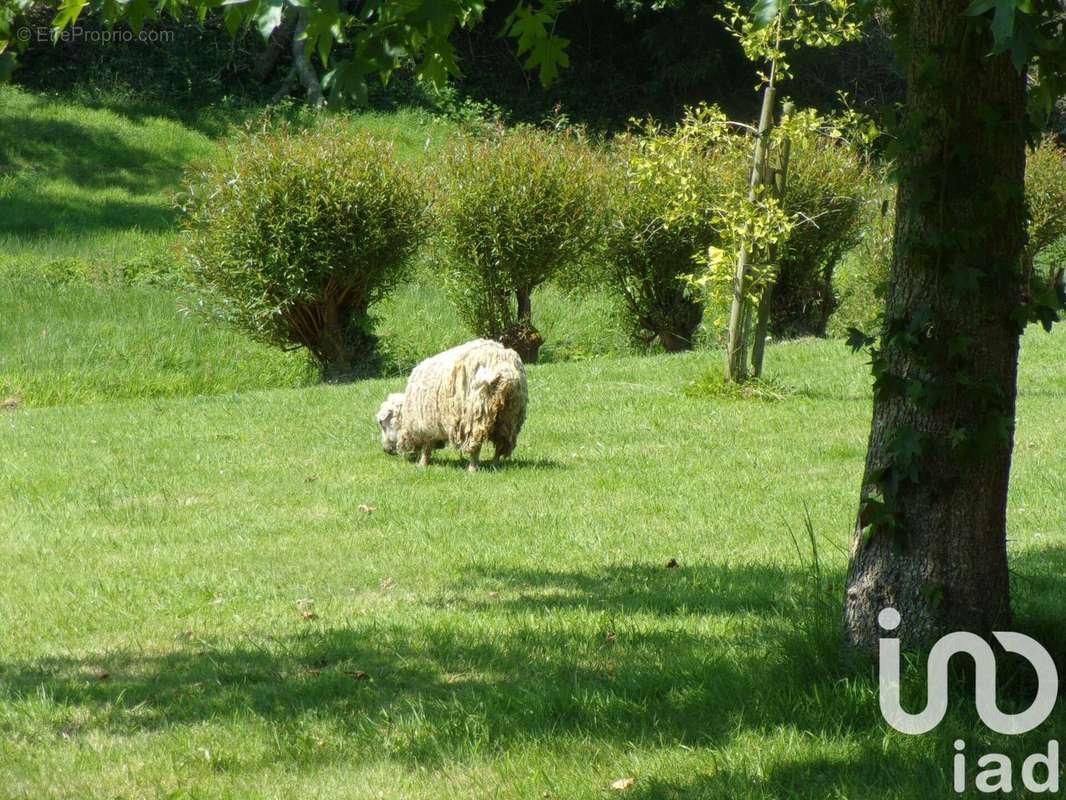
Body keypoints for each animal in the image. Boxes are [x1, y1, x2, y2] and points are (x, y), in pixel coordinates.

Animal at [375, 337, 528, 469]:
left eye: (382, 423)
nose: (385, 450)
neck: (406, 415)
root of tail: (503, 366)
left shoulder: (426, 426)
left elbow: (426, 447)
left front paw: (422, 464)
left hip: (475, 414)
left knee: (475, 446)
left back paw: (472, 468)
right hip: (510, 415)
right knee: (502, 443)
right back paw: (494, 464)